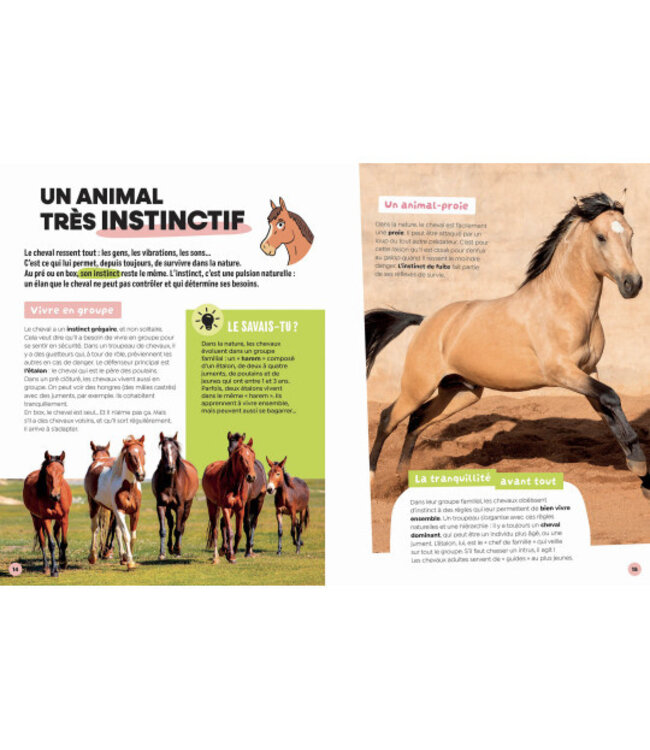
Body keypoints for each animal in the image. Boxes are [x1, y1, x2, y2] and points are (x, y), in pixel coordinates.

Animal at [85, 435, 146, 570]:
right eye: (129, 454)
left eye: (144, 452)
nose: (141, 475)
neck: (128, 488)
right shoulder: (120, 511)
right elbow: (126, 535)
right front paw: (130, 562)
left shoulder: (135, 512)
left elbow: (132, 536)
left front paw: (127, 558)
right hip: (94, 504)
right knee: (94, 527)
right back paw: (92, 556)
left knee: (116, 530)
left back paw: (122, 556)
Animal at [152, 432, 199, 560]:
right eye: (163, 449)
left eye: (176, 449)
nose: (170, 468)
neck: (170, 483)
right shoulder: (161, 505)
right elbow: (163, 530)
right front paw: (162, 553)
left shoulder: (180, 507)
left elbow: (178, 529)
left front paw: (177, 550)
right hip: (169, 507)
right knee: (171, 523)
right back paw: (170, 548)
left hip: (188, 505)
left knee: (182, 525)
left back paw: (177, 550)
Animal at [365, 192, 650, 498]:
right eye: (600, 237)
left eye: (631, 233)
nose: (632, 284)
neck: (563, 304)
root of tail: (426, 321)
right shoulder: (562, 372)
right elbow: (611, 397)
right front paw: (639, 463)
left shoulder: (588, 371)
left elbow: (608, 411)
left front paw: (639, 469)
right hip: (417, 387)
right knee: (389, 418)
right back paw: (374, 480)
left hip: (461, 392)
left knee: (417, 421)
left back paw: (403, 478)